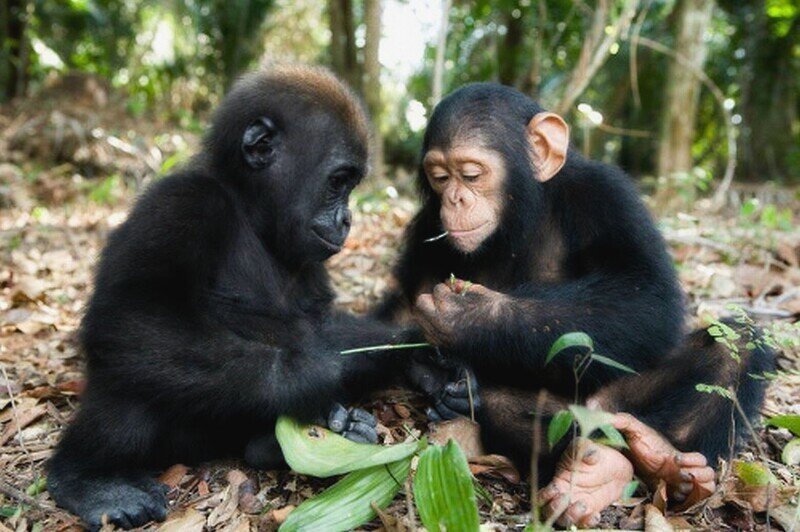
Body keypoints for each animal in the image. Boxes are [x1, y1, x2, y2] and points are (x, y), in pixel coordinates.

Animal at [47, 65, 412, 528]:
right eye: (338, 183)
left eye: (350, 185)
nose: (347, 219)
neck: (248, 207)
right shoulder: (181, 203)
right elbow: (131, 313)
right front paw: (303, 374)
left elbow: (325, 324)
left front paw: (419, 346)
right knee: (131, 367)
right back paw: (90, 480)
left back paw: (281, 443)